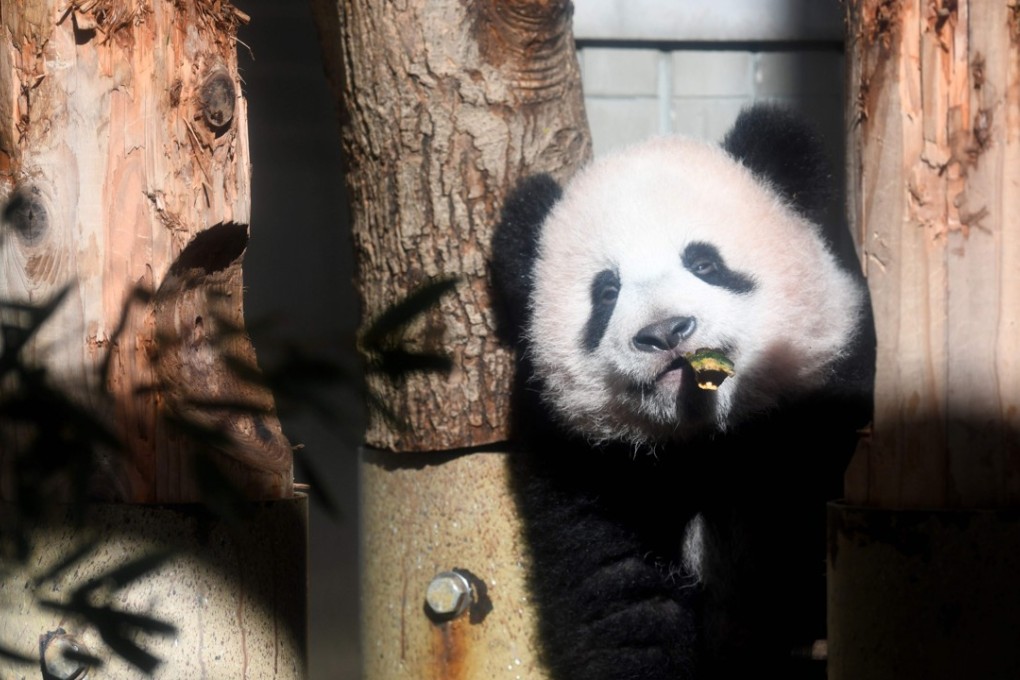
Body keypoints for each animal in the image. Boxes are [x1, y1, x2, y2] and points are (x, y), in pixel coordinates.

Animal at [490, 105, 875, 680]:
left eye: (704, 264)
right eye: (607, 291)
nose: (665, 331)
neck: (701, 439)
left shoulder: (824, 400)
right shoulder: (593, 467)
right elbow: (623, 600)